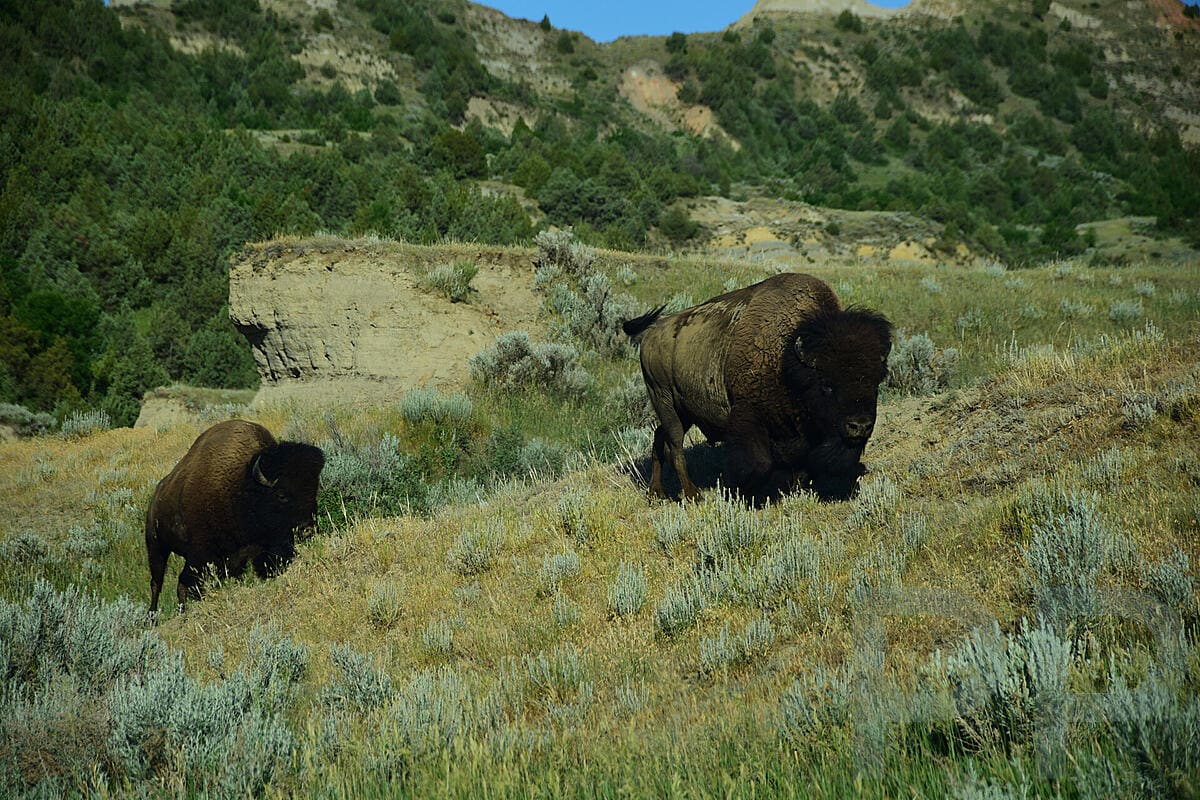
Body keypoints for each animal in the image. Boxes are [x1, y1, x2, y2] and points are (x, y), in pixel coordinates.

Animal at [145, 419, 325, 614]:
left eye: (313, 492)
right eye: (282, 495)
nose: (307, 528)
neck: (242, 485)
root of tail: (156, 497)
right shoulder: (202, 553)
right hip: (156, 547)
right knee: (159, 583)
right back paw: (154, 615)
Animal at [622, 273, 892, 502]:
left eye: (875, 383)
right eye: (827, 385)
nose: (859, 426)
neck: (787, 358)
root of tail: (650, 334)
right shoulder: (748, 418)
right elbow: (759, 463)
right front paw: (743, 493)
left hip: (684, 411)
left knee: (660, 439)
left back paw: (656, 493)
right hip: (665, 401)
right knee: (675, 446)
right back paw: (692, 495)